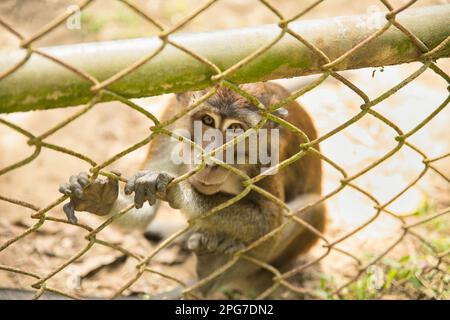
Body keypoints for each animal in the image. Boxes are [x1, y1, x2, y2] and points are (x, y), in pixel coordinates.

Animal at [59, 82, 326, 298]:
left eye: (235, 128)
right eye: (207, 121)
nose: (210, 160)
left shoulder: (270, 149)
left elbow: (270, 221)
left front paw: (178, 191)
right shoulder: (171, 121)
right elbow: (143, 213)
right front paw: (98, 198)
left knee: (311, 208)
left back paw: (210, 271)